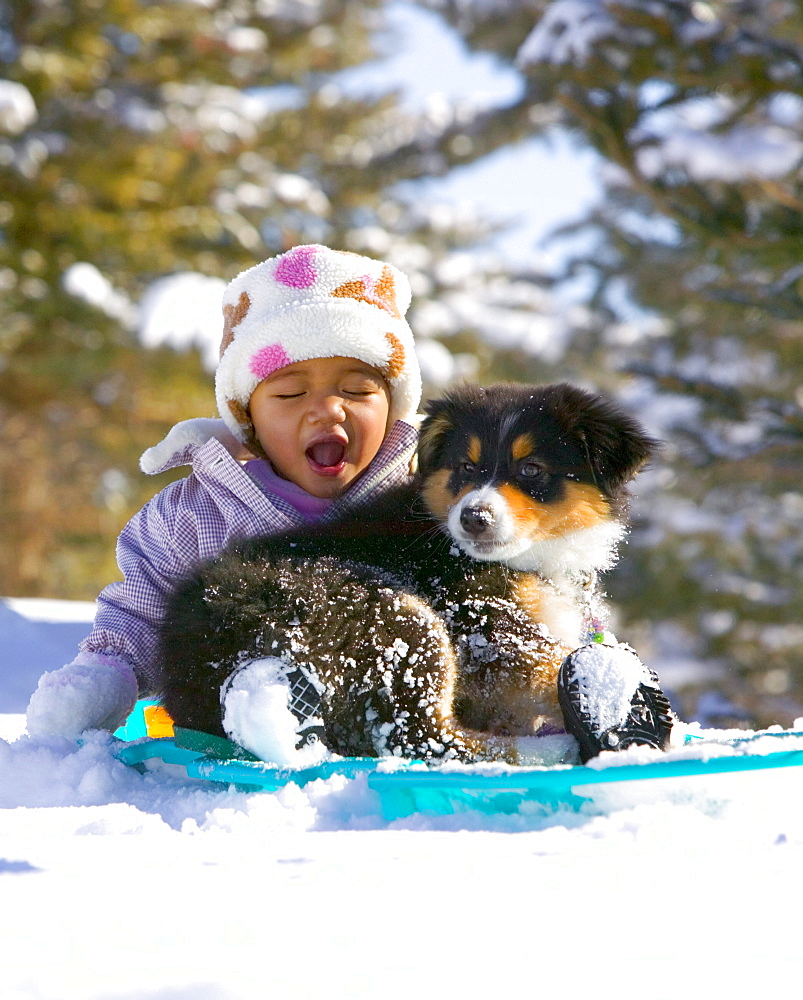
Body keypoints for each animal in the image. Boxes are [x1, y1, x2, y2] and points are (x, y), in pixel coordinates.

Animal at [159, 382, 660, 764]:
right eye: (465, 466)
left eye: (532, 468)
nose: (473, 518)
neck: (528, 562)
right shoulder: (485, 628)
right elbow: (547, 660)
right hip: (391, 616)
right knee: (420, 738)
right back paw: (554, 750)